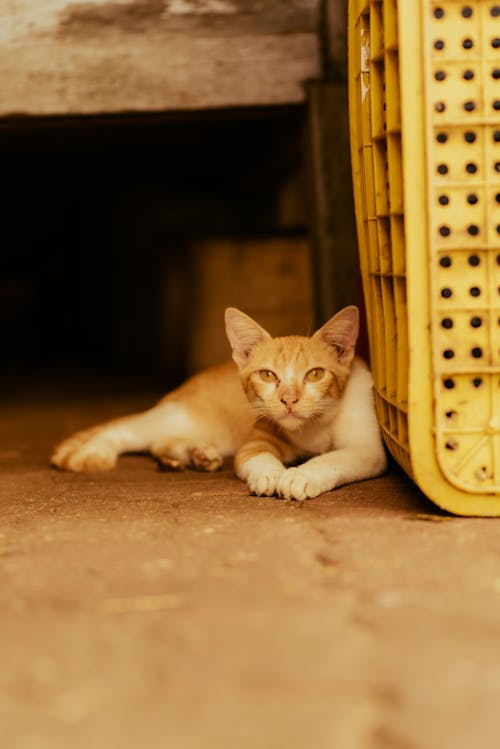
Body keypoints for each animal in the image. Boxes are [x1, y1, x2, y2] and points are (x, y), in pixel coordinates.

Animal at [51, 306, 386, 500]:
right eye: (267, 375)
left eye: (315, 374)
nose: (288, 400)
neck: (313, 427)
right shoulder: (257, 436)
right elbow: (254, 456)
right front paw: (270, 473)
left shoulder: (366, 448)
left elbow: (335, 458)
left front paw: (302, 474)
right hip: (186, 415)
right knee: (131, 430)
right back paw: (97, 450)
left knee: (159, 442)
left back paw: (194, 454)